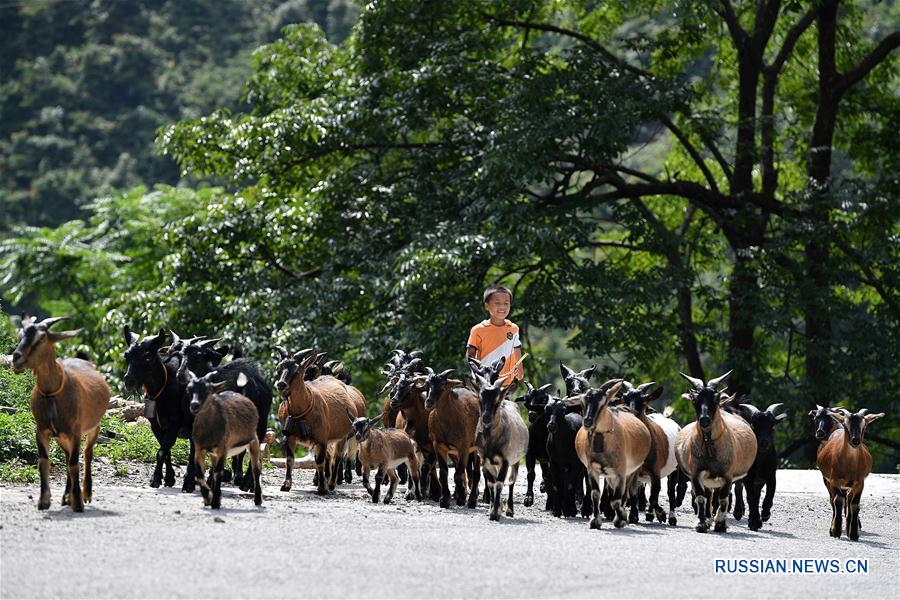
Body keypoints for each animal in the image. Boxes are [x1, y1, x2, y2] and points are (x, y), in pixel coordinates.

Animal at [11, 318, 109, 510]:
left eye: (41, 338)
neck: (52, 395)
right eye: (20, 335)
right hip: (61, 437)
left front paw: (78, 503)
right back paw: (66, 496)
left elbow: (74, 463)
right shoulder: (42, 430)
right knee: (67, 456)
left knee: (87, 453)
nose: (16, 357)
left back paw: (86, 493)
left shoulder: (75, 431)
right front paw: (44, 501)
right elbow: (44, 461)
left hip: (94, 426)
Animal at [274, 344, 366, 494]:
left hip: (343, 436)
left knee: (339, 456)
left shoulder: (322, 438)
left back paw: (333, 482)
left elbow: (320, 460)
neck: (301, 412)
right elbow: (289, 459)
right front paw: (286, 485)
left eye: (297, 371)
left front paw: (322, 487)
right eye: (279, 368)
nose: (281, 384)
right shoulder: (289, 436)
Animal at [572, 382, 652, 528]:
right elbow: (595, 494)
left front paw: (621, 518)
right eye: (583, 401)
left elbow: (616, 500)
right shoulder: (592, 470)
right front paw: (595, 521)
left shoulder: (621, 472)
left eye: (604, 403)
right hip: (610, 474)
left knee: (625, 493)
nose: (588, 422)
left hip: (631, 471)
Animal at [816, 408, 884, 540]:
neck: (850, 466)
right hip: (829, 481)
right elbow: (837, 501)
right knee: (834, 500)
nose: (855, 440)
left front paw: (853, 533)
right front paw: (835, 531)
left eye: (864, 425)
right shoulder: (834, 480)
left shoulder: (860, 483)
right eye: (845, 425)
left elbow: (855, 505)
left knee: (848, 501)